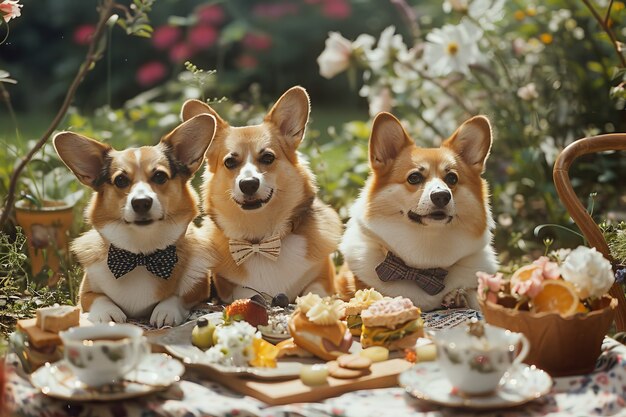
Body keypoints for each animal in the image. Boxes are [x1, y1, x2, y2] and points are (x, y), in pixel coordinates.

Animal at [54, 114, 219, 328]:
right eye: (120, 180)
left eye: (159, 176)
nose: (141, 202)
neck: (141, 255)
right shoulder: (84, 294)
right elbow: (98, 298)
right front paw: (108, 313)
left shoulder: (198, 289)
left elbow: (179, 296)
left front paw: (166, 310)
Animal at [178, 86, 342, 300]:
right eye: (230, 162)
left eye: (267, 158)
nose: (248, 184)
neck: (260, 242)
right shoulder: (229, 288)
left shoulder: (324, 280)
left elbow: (314, 292)